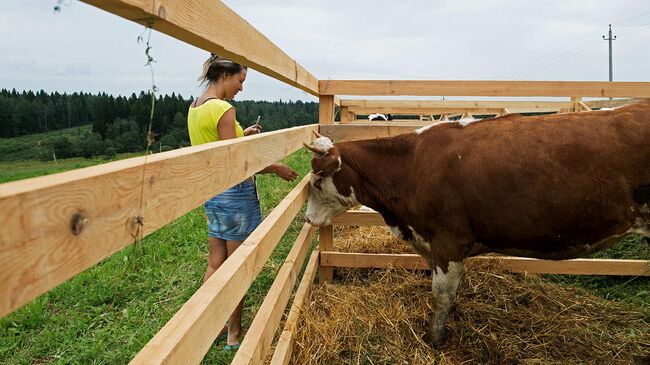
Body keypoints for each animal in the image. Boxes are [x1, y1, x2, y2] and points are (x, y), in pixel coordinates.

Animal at [304, 99, 648, 344]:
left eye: (317, 180)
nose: (308, 219)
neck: (411, 166)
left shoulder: (449, 242)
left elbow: (441, 296)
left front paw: (434, 341)